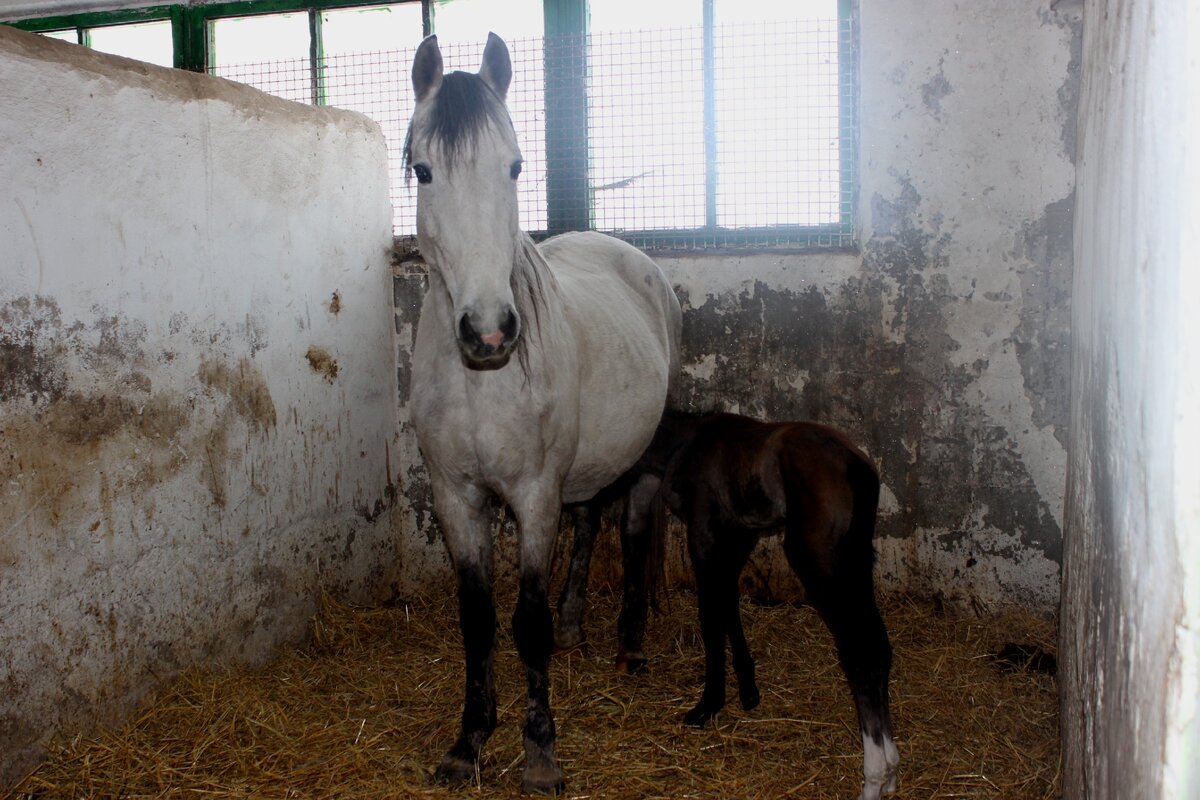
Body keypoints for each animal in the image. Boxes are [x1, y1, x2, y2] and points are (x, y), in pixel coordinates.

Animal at [408, 32, 681, 796]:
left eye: (515, 165)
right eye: (423, 169)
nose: (489, 331)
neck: (481, 381)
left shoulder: (533, 497)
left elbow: (524, 622)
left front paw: (539, 751)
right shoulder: (456, 497)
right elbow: (477, 620)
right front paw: (469, 740)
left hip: (641, 460)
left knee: (631, 527)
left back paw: (628, 647)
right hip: (583, 471)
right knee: (588, 524)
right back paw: (576, 627)